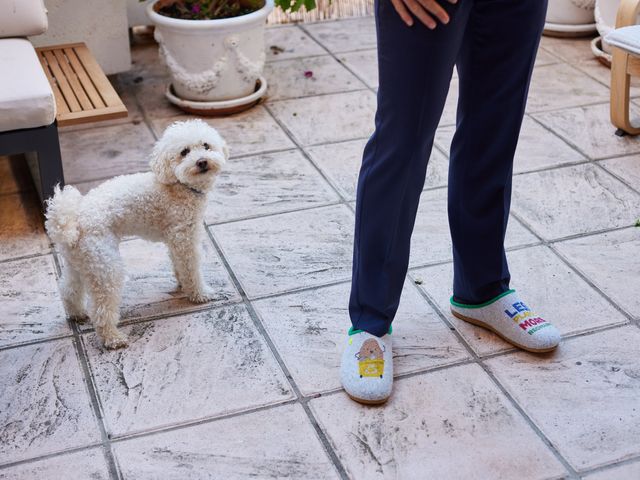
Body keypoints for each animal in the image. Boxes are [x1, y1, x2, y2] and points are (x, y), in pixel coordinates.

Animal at [45, 118, 226, 346]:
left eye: (206, 146)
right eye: (184, 152)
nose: (202, 161)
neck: (180, 186)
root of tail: (73, 219)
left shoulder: (174, 240)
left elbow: (178, 264)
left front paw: (180, 283)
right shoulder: (184, 238)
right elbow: (191, 269)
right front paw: (199, 293)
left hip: (80, 263)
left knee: (68, 289)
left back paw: (76, 313)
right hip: (106, 266)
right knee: (101, 309)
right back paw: (113, 338)